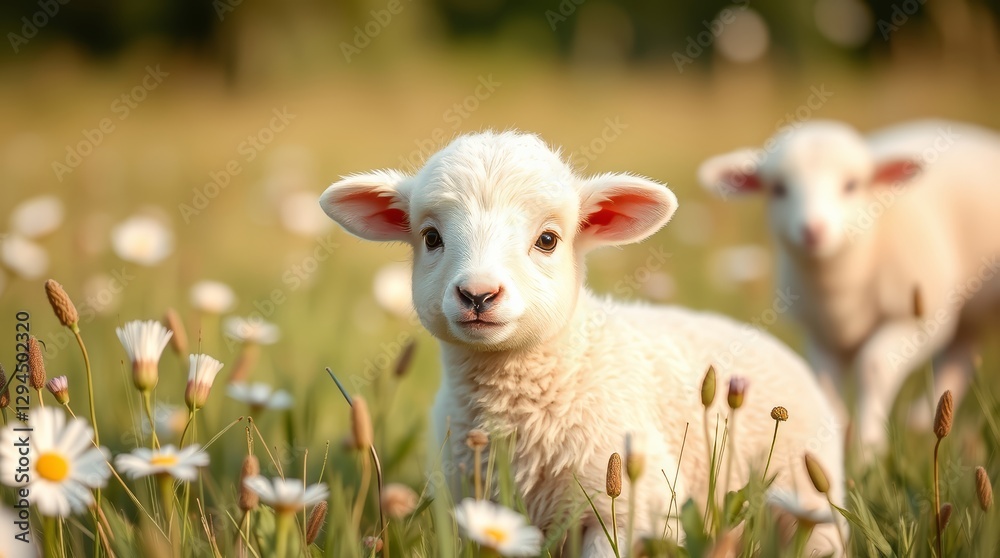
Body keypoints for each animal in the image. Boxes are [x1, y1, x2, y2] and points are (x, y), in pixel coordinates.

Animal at [320, 130, 846, 556]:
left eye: (548, 240)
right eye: (431, 238)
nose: (478, 294)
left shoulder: (627, 508)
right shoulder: (472, 508)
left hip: (810, 497)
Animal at [697, 119, 1000, 452]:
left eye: (852, 185)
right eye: (778, 189)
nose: (813, 230)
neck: (839, 290)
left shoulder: (922, 318)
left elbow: (874, 366)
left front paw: (869, 447)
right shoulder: (820, 334)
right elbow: (825, 382)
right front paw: (835, 437)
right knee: (961, 353)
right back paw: (923, 422)